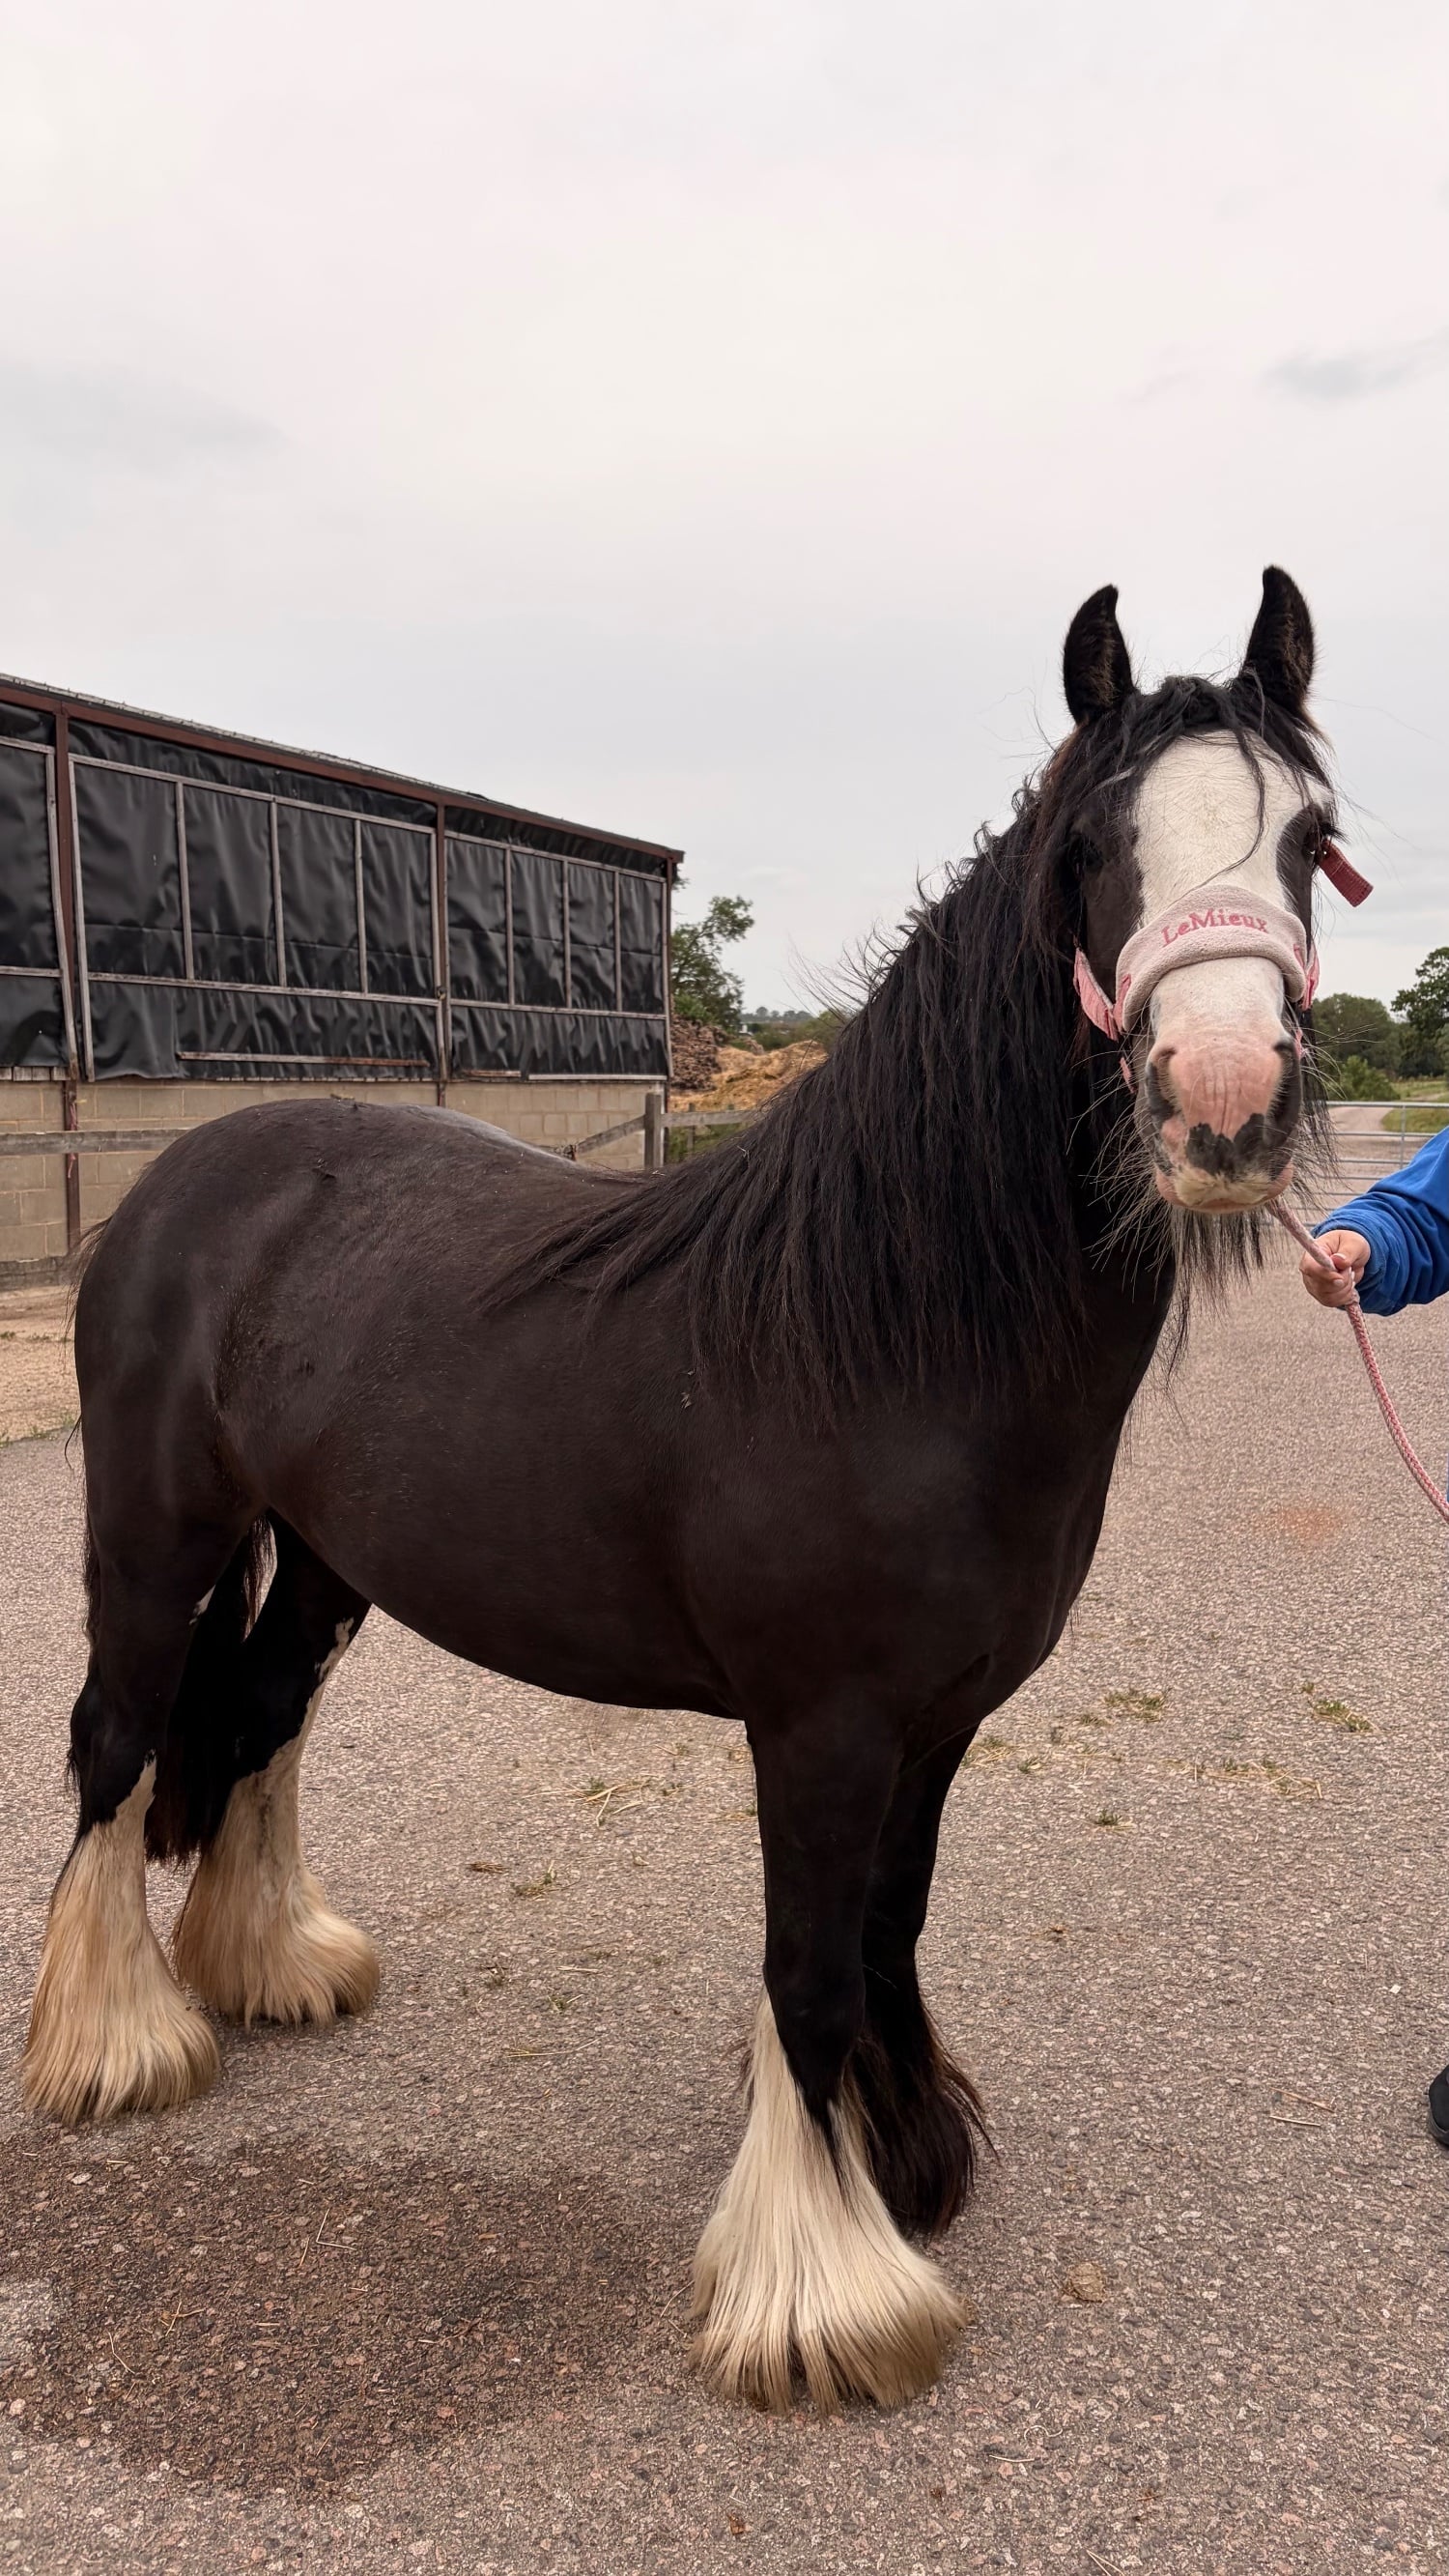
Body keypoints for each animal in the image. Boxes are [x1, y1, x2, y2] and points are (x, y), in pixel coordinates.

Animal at [23, 568, 1342, 2415]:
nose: (1222, 1105)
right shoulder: (820, 1726)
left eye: (1310, 835)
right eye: (1092, 846)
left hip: (328, 1561)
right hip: (155, 1537)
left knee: (264, 1720)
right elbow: (807, 1967)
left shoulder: (936, 1724)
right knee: (118, 1748)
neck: (891, 1331)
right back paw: (117, 2046)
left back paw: (275, 1967)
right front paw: (826, 2293)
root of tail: (184, 1178)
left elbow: (889, 1929)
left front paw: (908, 2159)